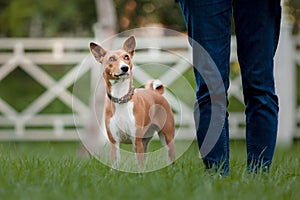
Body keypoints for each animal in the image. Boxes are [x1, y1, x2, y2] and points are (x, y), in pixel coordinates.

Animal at [90, 36, 177, 169]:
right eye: (111, 59)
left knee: (170, 158)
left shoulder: (136, 140)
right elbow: (115, 164)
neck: (121, 98)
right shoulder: (114, 142)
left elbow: (140, 166)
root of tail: (155, 93)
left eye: (126, 57)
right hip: (145, 140)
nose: (124, 67)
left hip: (167, 137)